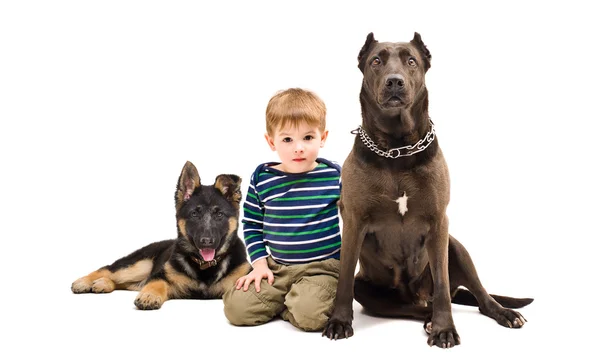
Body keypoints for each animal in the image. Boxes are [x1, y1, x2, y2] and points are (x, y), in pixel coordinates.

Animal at [72, 161, 251, 308]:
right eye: (194, 214)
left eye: (219, 215)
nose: (206, 241)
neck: (205, 266)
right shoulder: (161, 276)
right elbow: (156, 283)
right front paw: (149, 295)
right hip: (138, 266)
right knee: (109, 270)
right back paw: (84, 282)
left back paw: (103, 284)